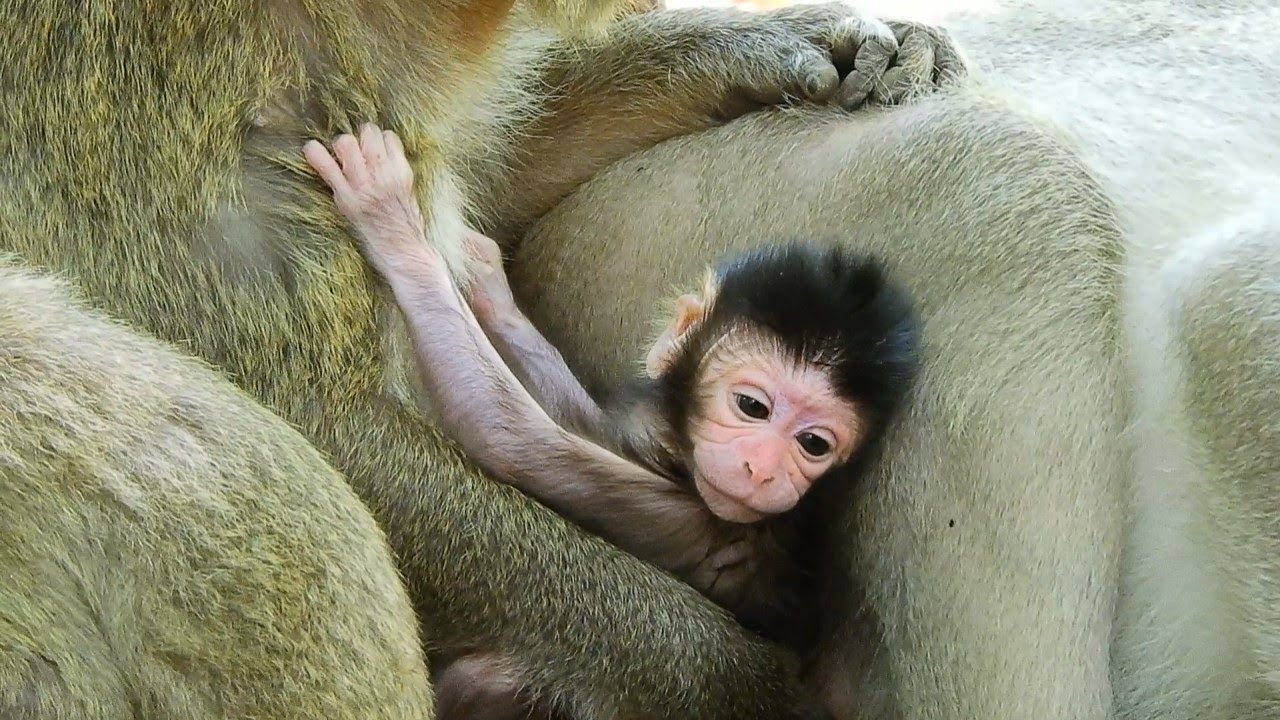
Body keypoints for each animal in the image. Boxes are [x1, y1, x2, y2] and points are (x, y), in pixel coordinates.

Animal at [306, 120, 917, 718]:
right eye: (753, 407)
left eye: (813, 444)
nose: (763, 469)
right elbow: (576, 419)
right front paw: (485, 279)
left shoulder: (691, 517)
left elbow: (510, 437)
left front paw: (395, 225)